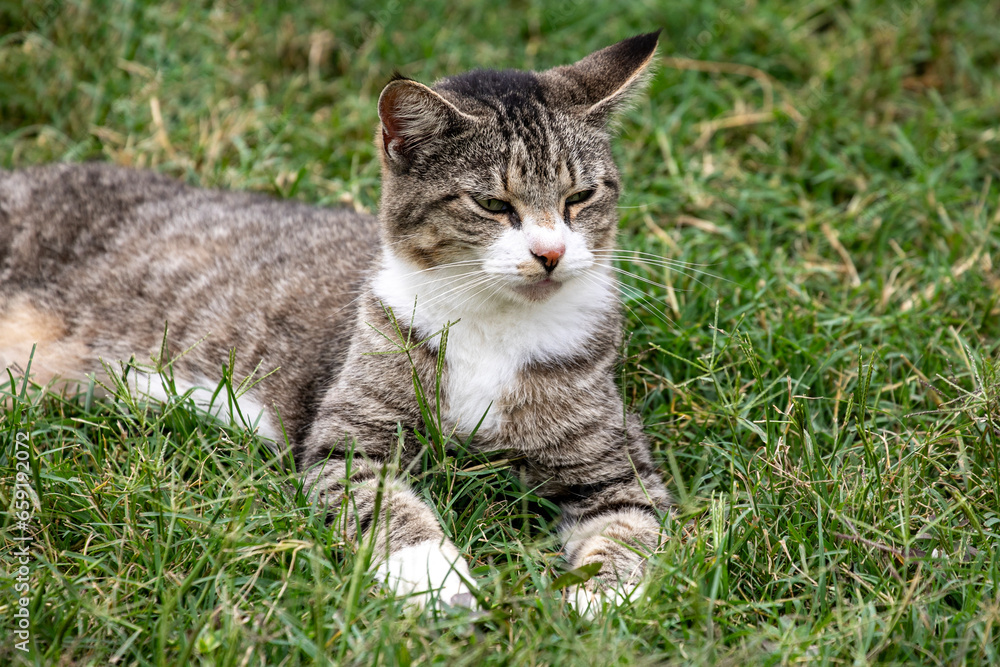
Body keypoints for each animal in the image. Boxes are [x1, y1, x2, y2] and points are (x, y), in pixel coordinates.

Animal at [1, 31, 672, 616]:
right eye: (492, 204)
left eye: (580, 197)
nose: (551, 253)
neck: (497, 325)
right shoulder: (346, 439)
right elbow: (387, 508)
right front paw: (439, 582)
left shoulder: (615, 465)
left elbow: (630, 527)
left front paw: (598, 600)